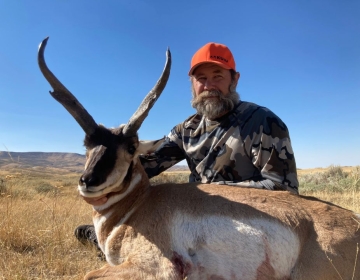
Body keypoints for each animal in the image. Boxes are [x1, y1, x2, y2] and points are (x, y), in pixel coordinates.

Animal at [38, 37, 358, 280]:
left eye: (131, 147)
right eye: (87, 144)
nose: (88, 181)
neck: (138, 204)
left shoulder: (153, 268)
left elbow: (87, 274)